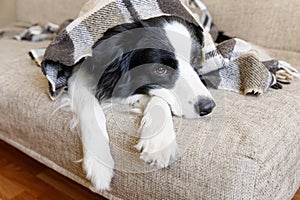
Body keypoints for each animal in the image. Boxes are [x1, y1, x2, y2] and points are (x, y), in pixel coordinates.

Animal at [68, 16, 214, 191]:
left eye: (196, 60)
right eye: (160, 70)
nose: (208, 107)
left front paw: (159, 141)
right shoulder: (78, 74)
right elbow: (89, 107)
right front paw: (99, 162)